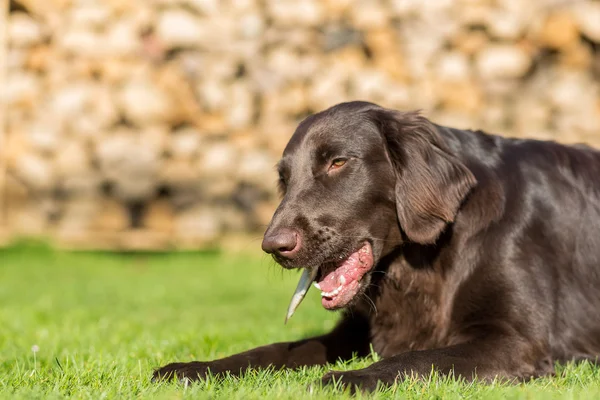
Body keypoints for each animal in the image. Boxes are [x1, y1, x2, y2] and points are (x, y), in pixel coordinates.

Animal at [152, 101, 600, 390]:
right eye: (284, 178)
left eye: (337, 163)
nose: (273, 245)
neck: (421, 261)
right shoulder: (349, 333)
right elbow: (274, 349)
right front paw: (194, 368)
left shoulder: (516, 340)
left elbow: (418, 358)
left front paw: (347, 378)